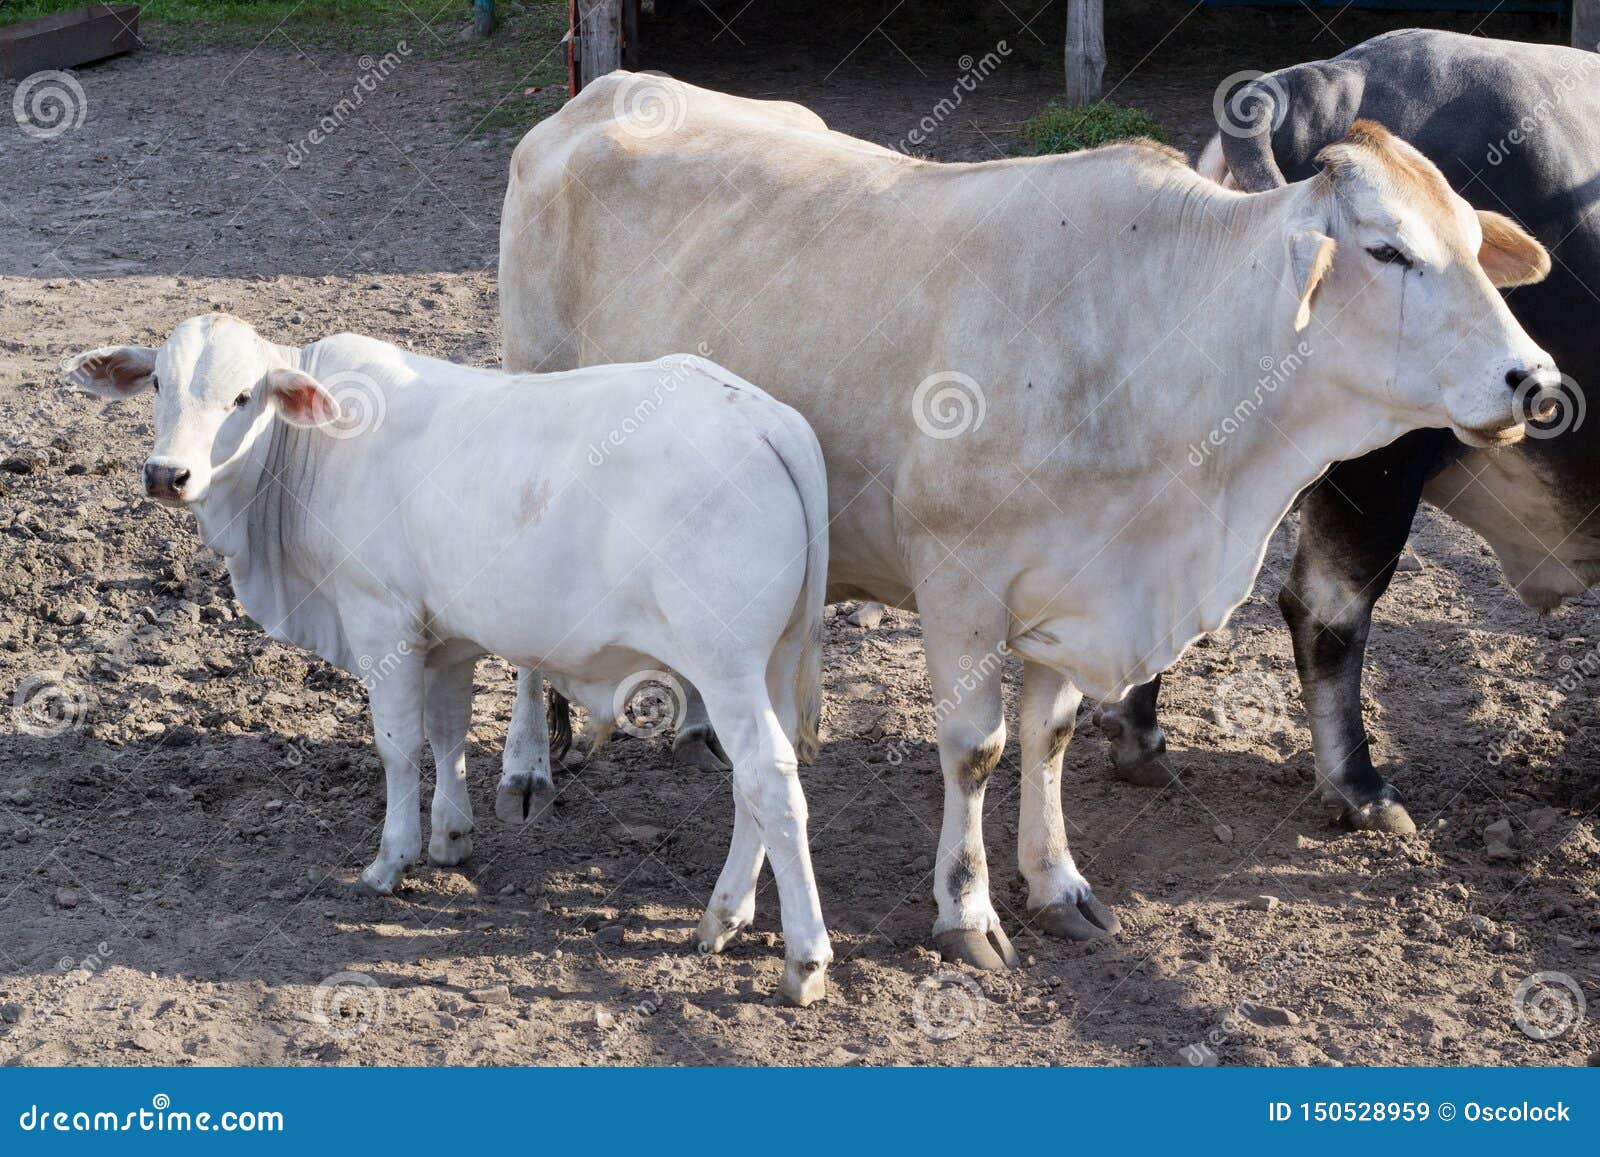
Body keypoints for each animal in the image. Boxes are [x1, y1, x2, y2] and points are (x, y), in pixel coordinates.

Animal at [62, 316, 838, 1004]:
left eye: (242, 397)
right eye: (157, 382)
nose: (168, 474)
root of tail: (770, 419)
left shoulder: (381, 620)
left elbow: (399, 744)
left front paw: (391, 859)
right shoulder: (446, 638)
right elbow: (448, 732)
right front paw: (451, 835)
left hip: (725, 663)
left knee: (770, 781)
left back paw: (802, 958)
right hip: (767, 663)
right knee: (751, 784)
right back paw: (723, 917)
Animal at [496, 79, 1548, 966]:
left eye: (1470, 241)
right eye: (1388, 250)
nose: (1533, 377)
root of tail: (602, 93)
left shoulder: (1078, 588)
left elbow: (1049, 739)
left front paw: (1056, 883)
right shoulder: (958, 583)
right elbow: (977, 749)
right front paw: (965, 910)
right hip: (534, 394)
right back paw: (527, 769)